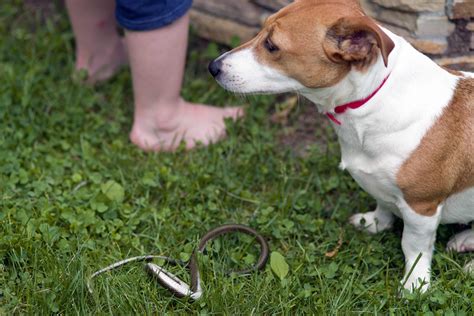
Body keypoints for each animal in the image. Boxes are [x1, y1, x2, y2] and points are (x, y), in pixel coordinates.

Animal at [209, 0, 472, 292]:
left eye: (271, 45)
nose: (213, 67)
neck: (373, 97)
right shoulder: (382, 188)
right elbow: (383, 204)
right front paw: (375, 222)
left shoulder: (421, 207)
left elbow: (413, 247)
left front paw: (415, 284)